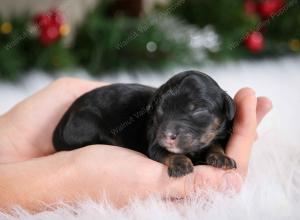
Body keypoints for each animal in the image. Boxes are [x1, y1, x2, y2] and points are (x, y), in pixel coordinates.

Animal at [53, 70, 237, 177]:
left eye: (198, 111)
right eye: (161, 109)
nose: (168, 135)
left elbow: (215, 144)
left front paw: (222, 157)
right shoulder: (155, 142)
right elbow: (166, 152)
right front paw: (180, 163)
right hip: (86, 122)